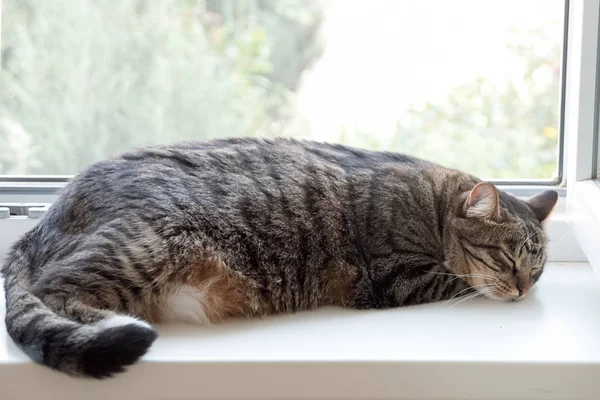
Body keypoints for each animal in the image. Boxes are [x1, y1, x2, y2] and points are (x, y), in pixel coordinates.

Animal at [2, 138, 560, 378]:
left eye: (537, 271)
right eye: (507, 260)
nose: (522, 290)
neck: (433, 204)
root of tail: (41, 223)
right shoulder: (395, 275)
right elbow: (456, 280)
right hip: (143, 244)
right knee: (54, 288)